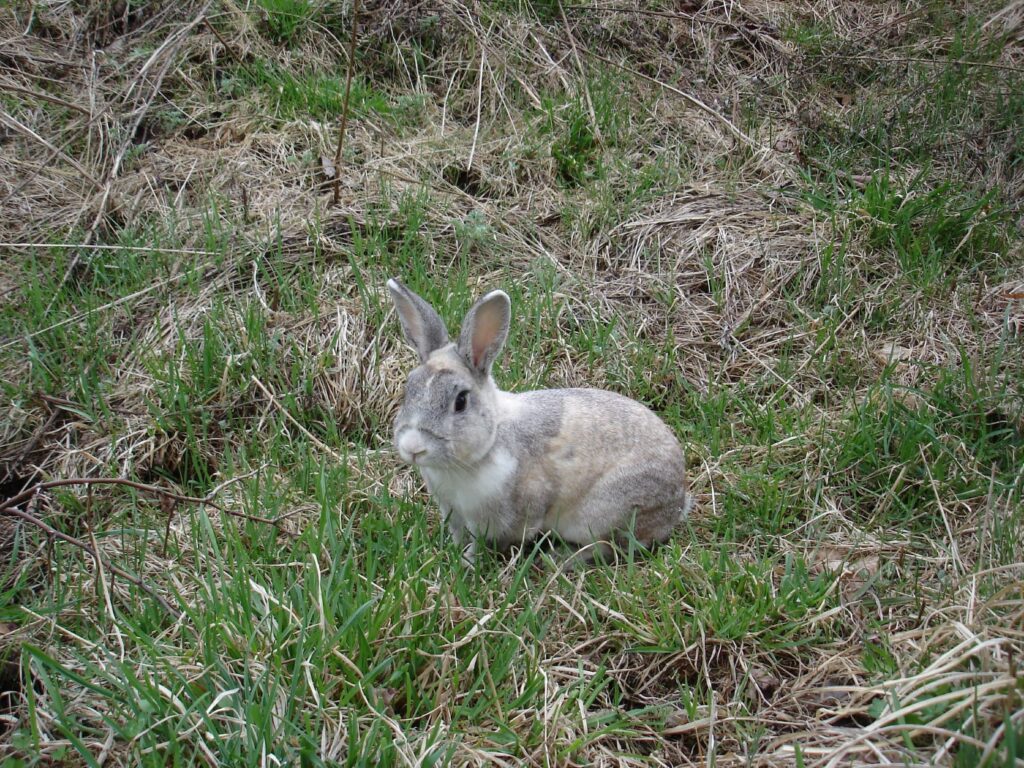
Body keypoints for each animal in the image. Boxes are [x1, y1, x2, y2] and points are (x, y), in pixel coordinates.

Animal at [387, 278, 692, 565]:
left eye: (460, 401)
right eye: (408, 389)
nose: (413, 448)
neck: (490, 440)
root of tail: (677, 503)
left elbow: (481, 543)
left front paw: (467, 563)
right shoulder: (453, 512)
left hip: (605, 513)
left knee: (607, 547)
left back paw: (560, 560)